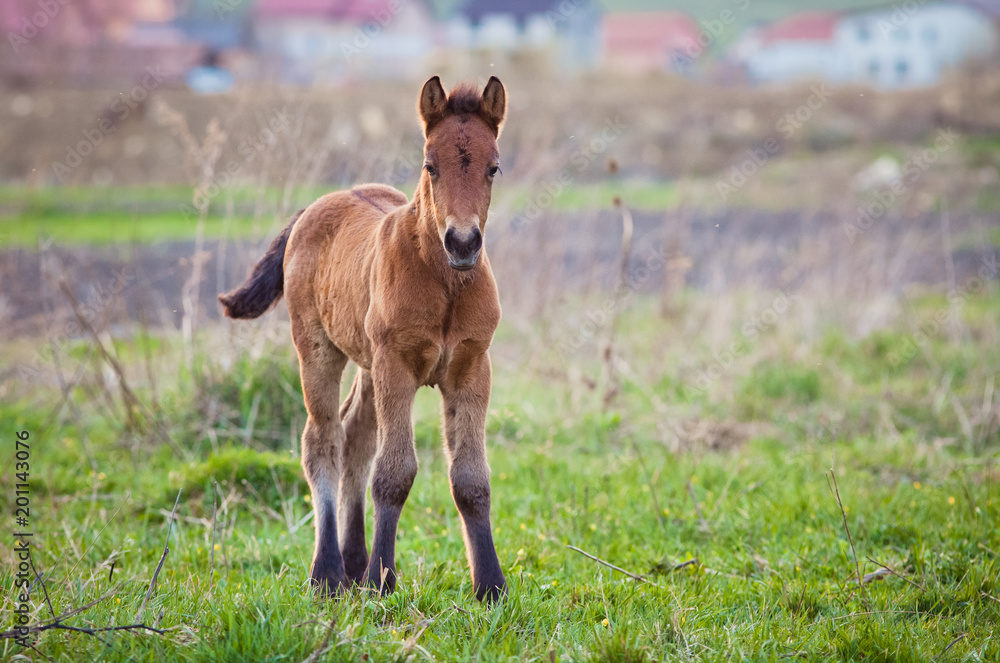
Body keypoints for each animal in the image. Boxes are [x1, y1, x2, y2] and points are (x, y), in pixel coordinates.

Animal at [218, 76, 508, 603]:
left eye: (493, 167)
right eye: (429, 166)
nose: (462, 243)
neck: (445, 283)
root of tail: (315, 207)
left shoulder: (472, 367)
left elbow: (471, 479)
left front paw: (490, 586)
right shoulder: (397, 365)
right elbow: (393, 473)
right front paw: (382, 579)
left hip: (370, 364)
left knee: (355, 437)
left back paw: (352, 563)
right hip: (319, 350)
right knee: (324, 440)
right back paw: (328, 572)